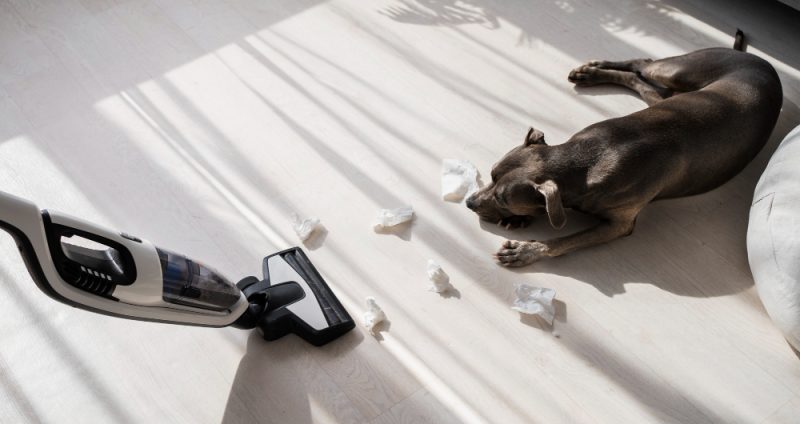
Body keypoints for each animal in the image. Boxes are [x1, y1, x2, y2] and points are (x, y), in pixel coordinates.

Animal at [466, 31, 782, 267]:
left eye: (504, 200)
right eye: (491, 174)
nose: (469, 203)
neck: (588, 159)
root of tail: (757, 58)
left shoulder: (618, 225)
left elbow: (564, 241)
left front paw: (526, 250)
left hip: (680, 72)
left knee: (645, 65)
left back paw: (593, 72)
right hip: (675, 83)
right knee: (642, 70)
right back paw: (590, 72)